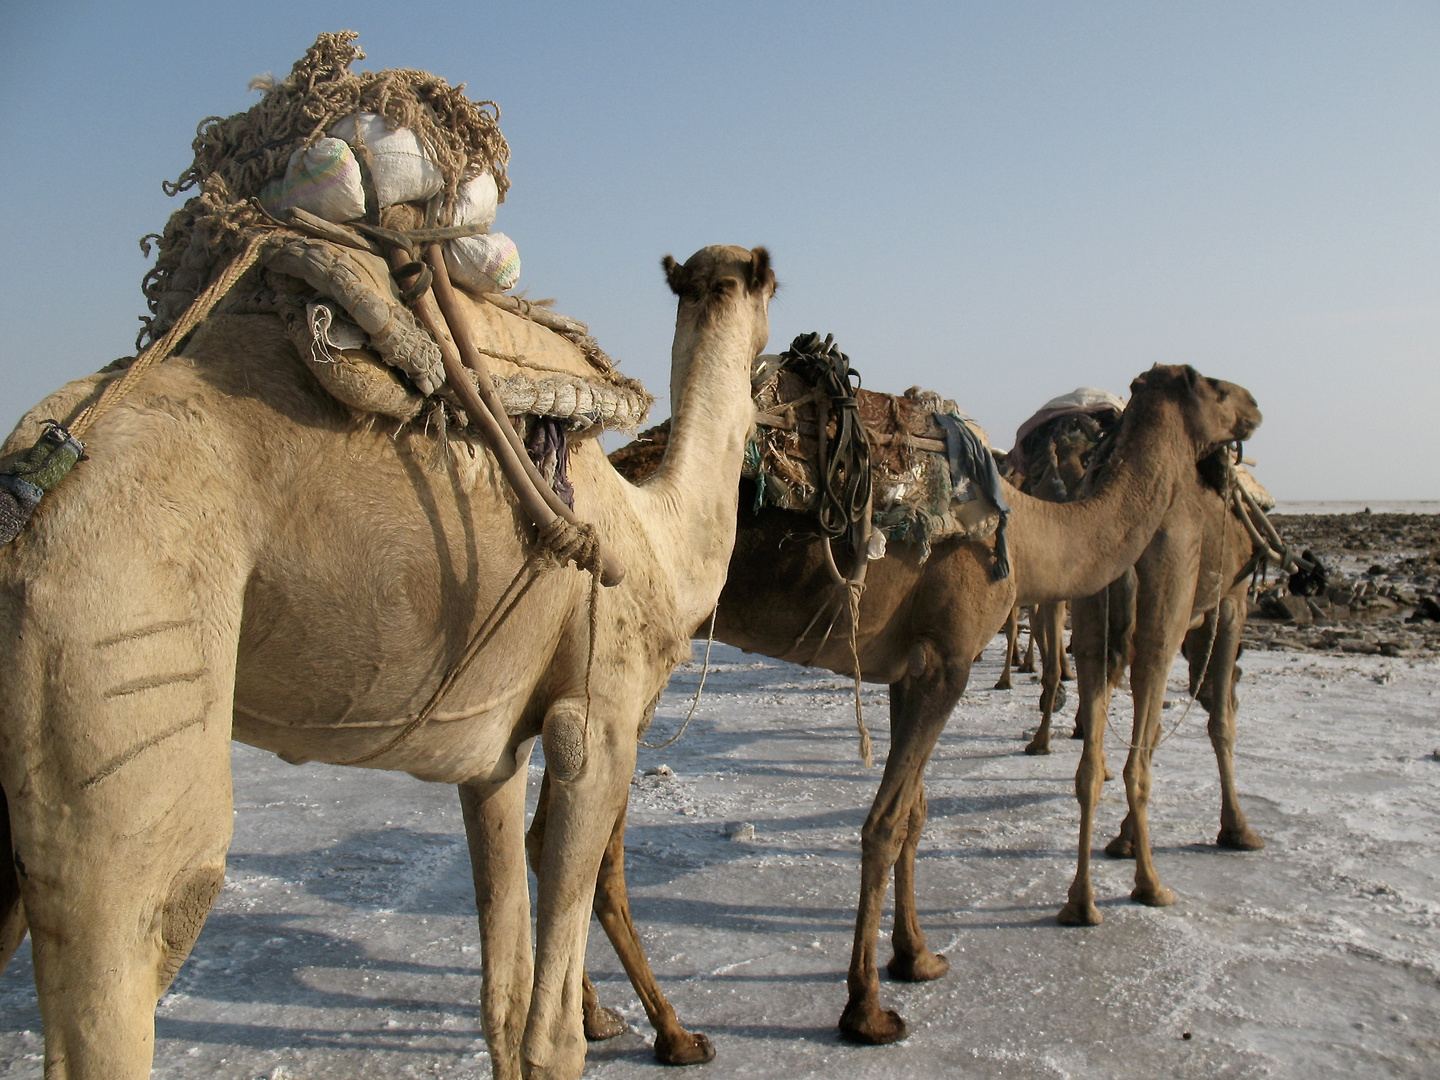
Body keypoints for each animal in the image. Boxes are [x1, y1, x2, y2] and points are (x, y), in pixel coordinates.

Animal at [0, 244, 777, 1080]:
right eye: (772, 287)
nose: (776, 367)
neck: (658, 539)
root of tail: (29, 478)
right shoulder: (598, 720)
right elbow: (552, 1031)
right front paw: (657, 1038)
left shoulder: (496, 750)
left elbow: (504, 995)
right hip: (119, 619)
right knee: (150, 904)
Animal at [1054, 449, 1267, 933]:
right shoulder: (1231, 604)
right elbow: (1220, 723)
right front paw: (1238, 829)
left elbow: (1151, 733)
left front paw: (1123, 839)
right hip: (1162, 618)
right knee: (1139, 758)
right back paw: (1150, 886)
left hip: (1092, 617)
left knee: (1092, 763)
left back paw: (1081, 903)